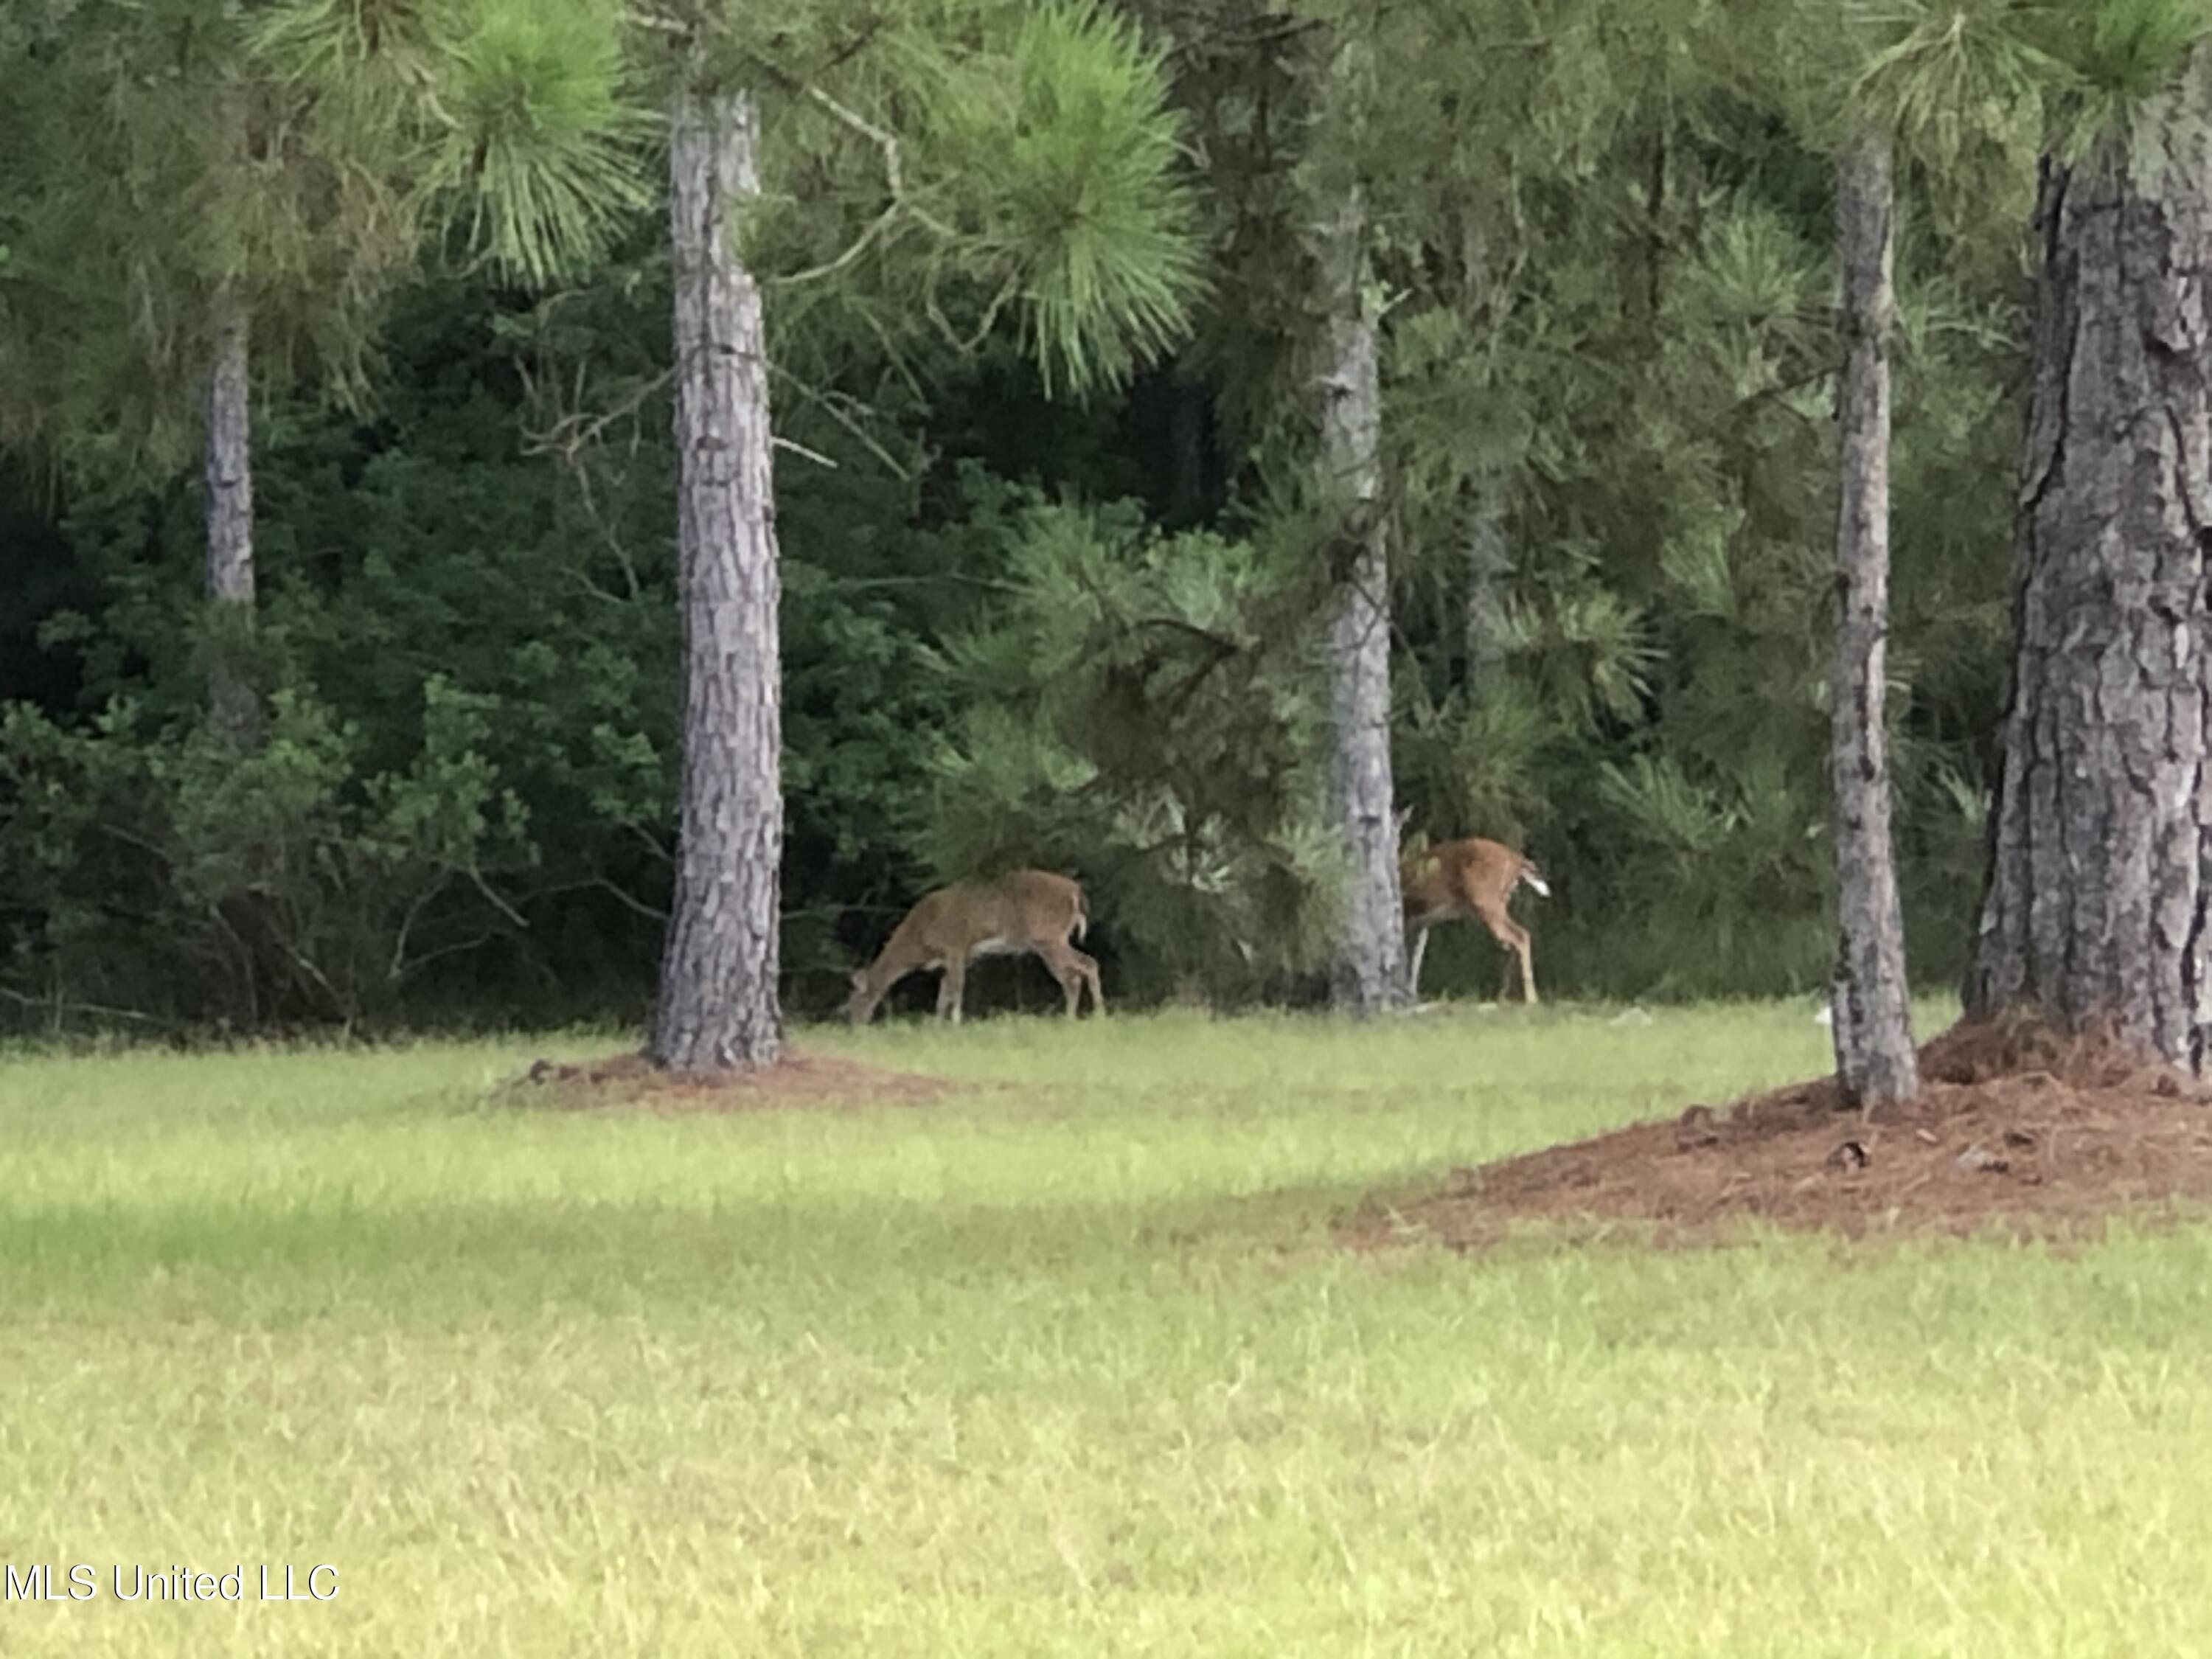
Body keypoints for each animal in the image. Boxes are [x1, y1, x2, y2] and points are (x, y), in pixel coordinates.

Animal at [841, 872, 1102, 1026]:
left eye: (855, 1000)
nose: (855, 1027)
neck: (919, 940)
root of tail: (1076, 892)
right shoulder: (959, 956)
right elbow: (943, 992)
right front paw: (936, 1026)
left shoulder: (955, 946)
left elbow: (956, 988)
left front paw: (956, 1024)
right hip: (1053, 939)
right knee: (1081, 968)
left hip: (1048, 936)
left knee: (1079, 971)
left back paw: (1086, 1017)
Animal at [1398, 836, 1557, 1009]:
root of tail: (1517, 859)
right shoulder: (1421, 922)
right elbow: (1415, 958)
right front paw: (1412, 997)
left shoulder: (1410, 918)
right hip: (1498, 901)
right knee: (1512, 942)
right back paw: (1502, 996)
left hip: (1486, 901)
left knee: (1520, 936)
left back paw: (1530, 999)